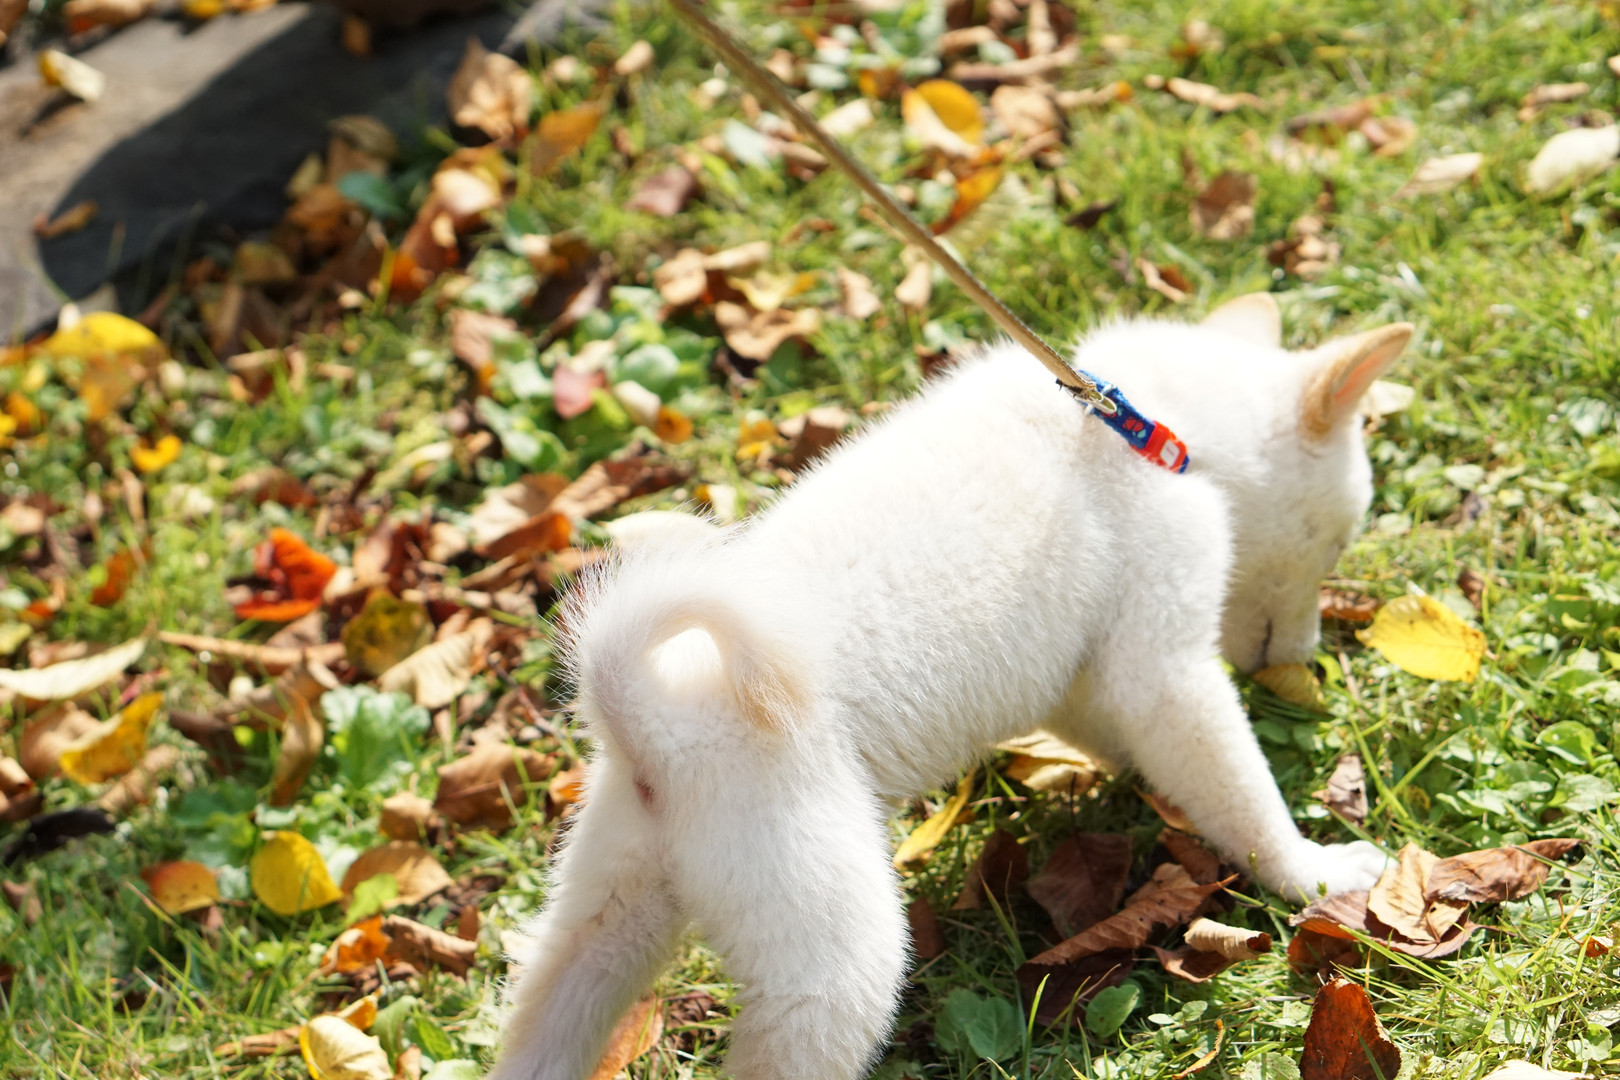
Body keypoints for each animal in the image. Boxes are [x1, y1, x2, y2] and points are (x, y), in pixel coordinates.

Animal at [490, 293, 1406, 1080]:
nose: (1303, 661)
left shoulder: (1079, 677)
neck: (1155, 429)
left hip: (605, 914)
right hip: (830, 949)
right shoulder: (1164, 663)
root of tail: (643, 713)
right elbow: (1241, 792)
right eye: (1336, 542)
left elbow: (1118, 736)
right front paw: (1316, 874)